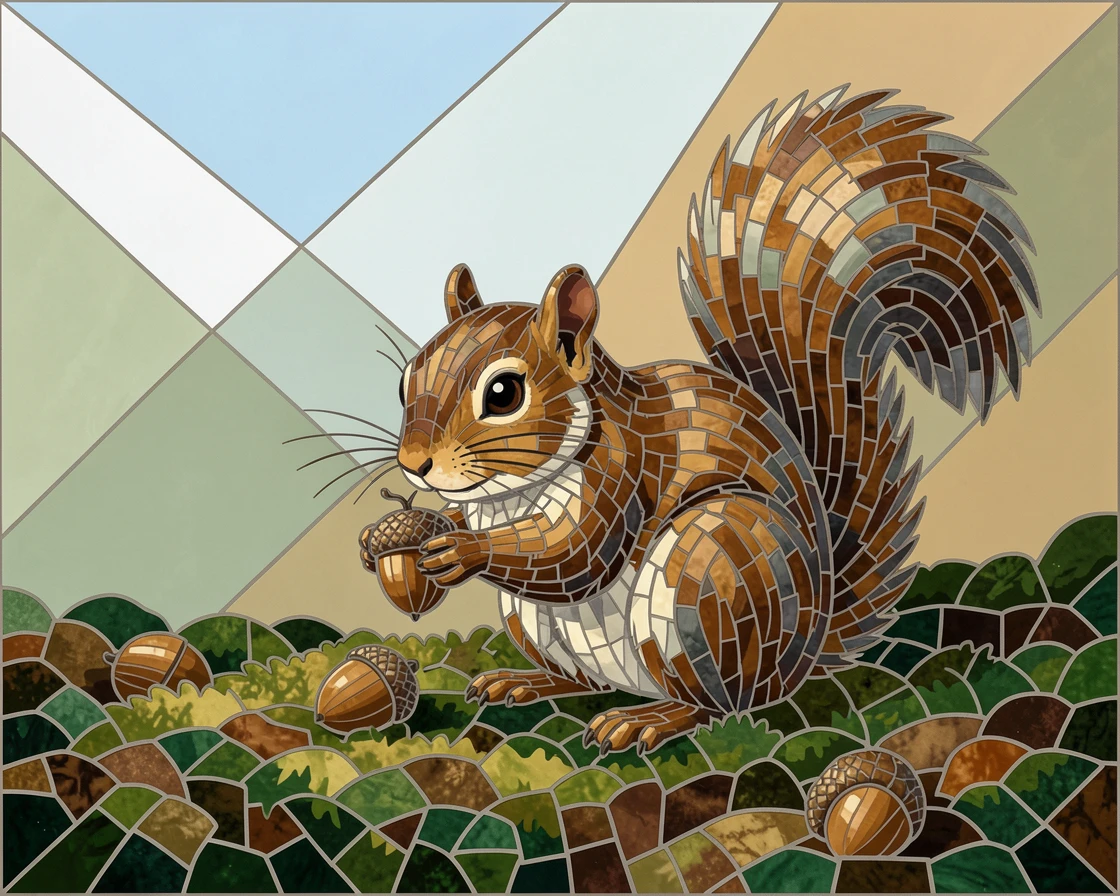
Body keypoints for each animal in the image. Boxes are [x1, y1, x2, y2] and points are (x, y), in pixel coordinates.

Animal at [371, 87, 1040, 773]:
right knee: (581, 681)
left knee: (718, 706)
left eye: (503, 393)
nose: (416, 463)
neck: (510, 493)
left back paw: (648, 720)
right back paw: (526, 681)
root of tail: (804, 652)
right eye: (406, 381)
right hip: (538, 624)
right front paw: (399, 535)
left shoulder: (621, 468)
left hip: (708, 574)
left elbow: (574, 553)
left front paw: (463, 550)